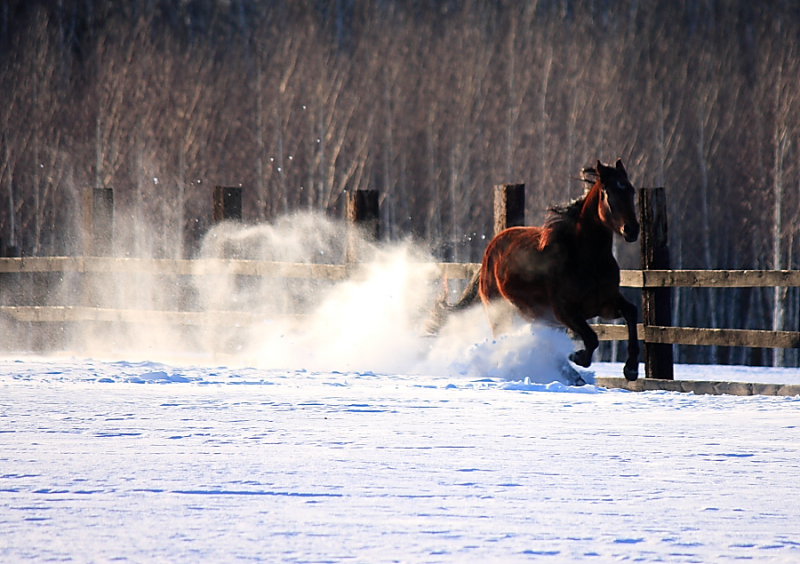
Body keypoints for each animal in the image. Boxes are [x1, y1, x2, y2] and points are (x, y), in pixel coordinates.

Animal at [434, 159, 640, 384]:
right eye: (607, 191)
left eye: (631, 190)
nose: (632, 230)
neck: (586, 259)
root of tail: (490, 250)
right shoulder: (565, 311)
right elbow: (592, 339)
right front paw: (577, 356)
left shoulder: (605, 304)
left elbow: (631, 312)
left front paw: (631, 369)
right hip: (503, 313)